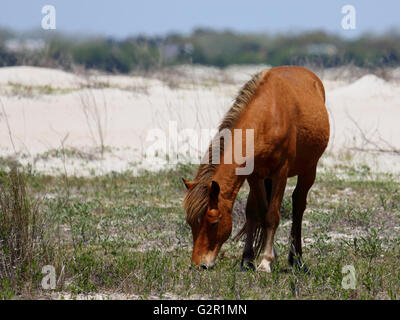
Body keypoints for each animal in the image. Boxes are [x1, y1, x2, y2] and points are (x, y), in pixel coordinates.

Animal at [181, 65, 328, 272]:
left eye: (214, 223)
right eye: (190, 222)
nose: (199, 264)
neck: (268, 117)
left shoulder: (281, 173)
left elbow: (272, 215)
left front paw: (265, 262)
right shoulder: (253, 175)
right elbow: (259, 212)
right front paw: (249, 259)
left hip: (309, 170)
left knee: (298, 207)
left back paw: (297, 260)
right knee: (255, 211)